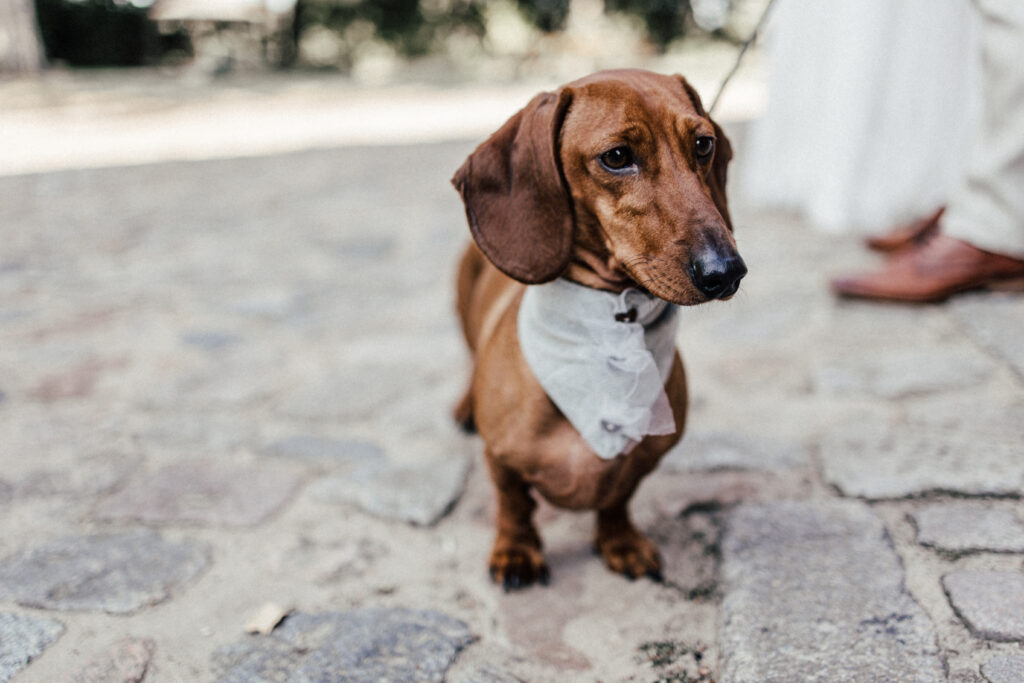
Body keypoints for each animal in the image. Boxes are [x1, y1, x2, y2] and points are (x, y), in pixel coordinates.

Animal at [450, 70, 745, 593]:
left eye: (704, 143)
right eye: (617, 157)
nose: (726, 272)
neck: (610, 331)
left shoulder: (643, 459)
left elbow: (616, 499)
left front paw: (620, 541)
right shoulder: (501, 458)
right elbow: (514, 505)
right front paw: (516, 551)